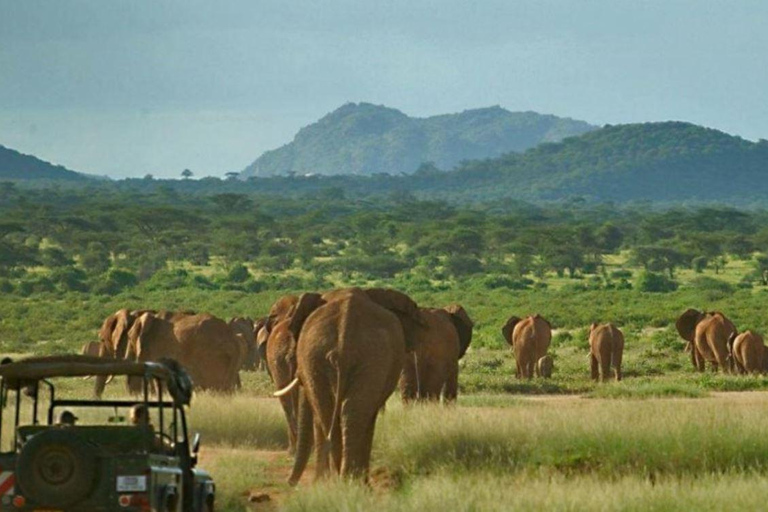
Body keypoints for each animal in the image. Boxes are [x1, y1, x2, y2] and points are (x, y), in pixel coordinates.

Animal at [274, 288, 424, 484]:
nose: (289, 483)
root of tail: (345, 334)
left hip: (353, 358)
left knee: (339, 414)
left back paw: (345, 481)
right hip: (326, 357)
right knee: (344, 414)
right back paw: (346, 481)